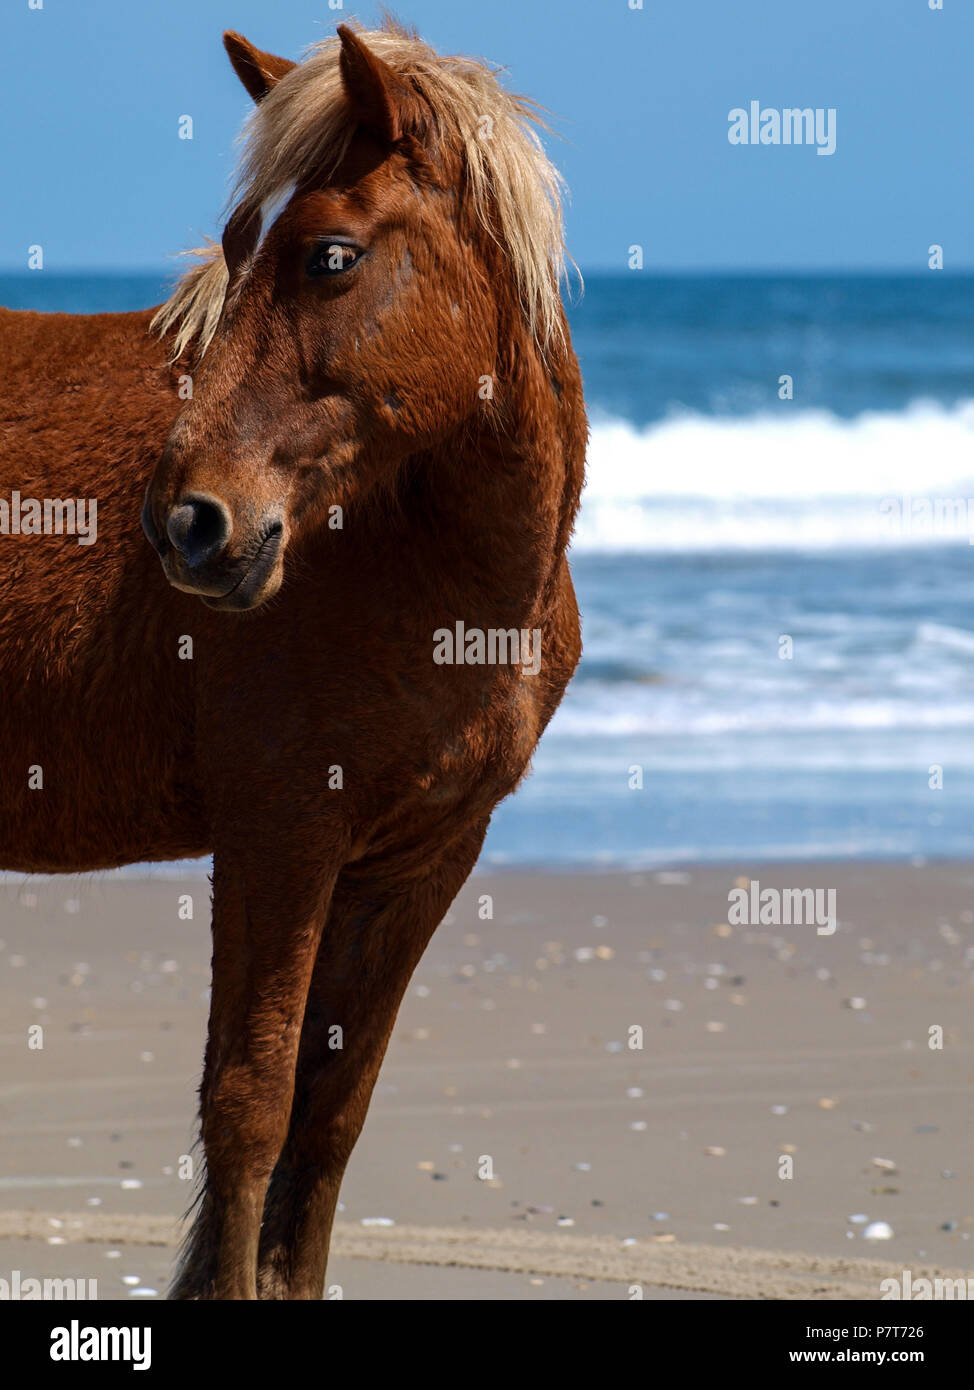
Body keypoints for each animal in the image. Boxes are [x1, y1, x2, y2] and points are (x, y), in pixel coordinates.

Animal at [0, 21, 586, 1295]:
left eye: (328, 255)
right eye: (235, 247)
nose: (187, 523)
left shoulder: (417, 860)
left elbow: (328, 1121)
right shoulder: (280, 832)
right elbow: (250, 1106)